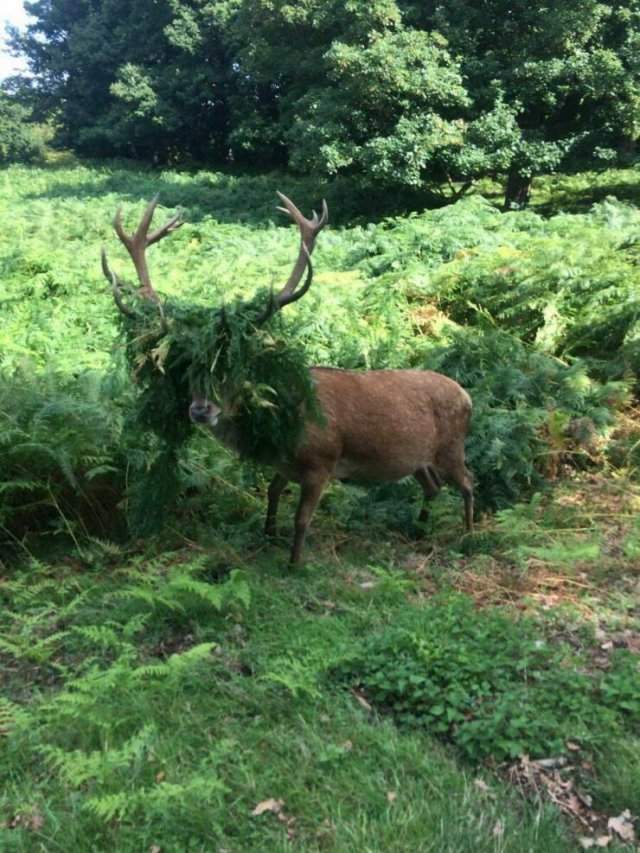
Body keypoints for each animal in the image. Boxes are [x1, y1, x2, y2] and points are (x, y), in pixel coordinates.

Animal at [102, 195, 472, 564]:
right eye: (185, 367)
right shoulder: (284, 465)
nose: (201, 410)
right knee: (433, 485)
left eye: (234, 367)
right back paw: (420, 528)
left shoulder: (322, 462)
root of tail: (467, 397)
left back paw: (468, 535)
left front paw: (294, 562)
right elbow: (271, 491)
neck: (278, 433)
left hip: (452, 445)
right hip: (420, 457)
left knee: (467, 482)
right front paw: (267, 534)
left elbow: (302, 518)